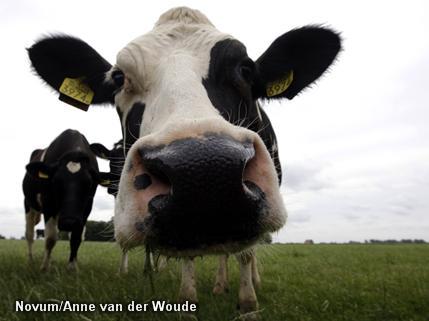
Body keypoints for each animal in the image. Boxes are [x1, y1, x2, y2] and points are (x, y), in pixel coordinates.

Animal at [23, 128, 108, 270]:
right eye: (55, 181)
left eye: (89, 183)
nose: (69, 222)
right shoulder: (48, 202)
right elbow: (51, 238)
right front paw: (44, 267)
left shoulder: (87, 206)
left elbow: (76, 237)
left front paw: (73, 266)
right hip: (28, 204)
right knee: (29, 234)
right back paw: (30, 260)